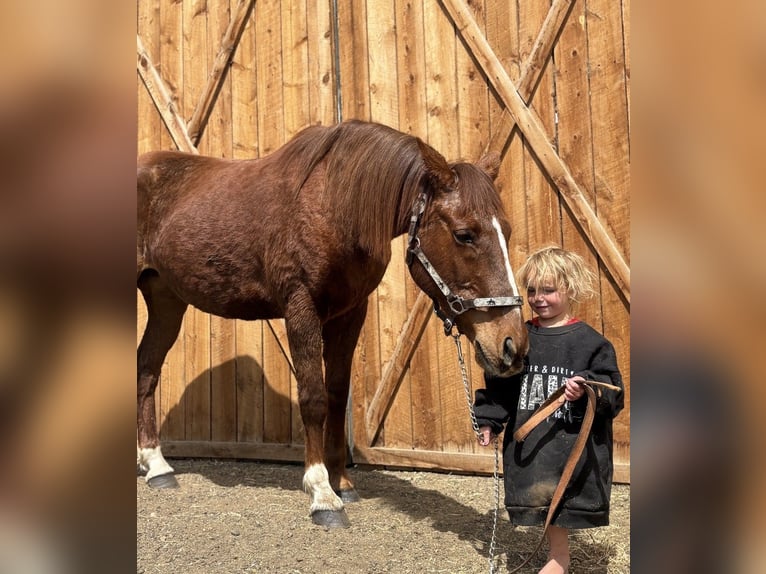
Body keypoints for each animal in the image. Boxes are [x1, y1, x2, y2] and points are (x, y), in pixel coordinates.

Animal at [137, 119, 529, 527]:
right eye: (464, 234)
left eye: (507, 231)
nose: (512, 345)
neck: (334, 206)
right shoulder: (301, 308)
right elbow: (313, 397)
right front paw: (323, 494)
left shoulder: (350, 312)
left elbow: (338, 394)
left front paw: (342, 482)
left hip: (167, 300)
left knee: (146, 368)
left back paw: (157, 467)